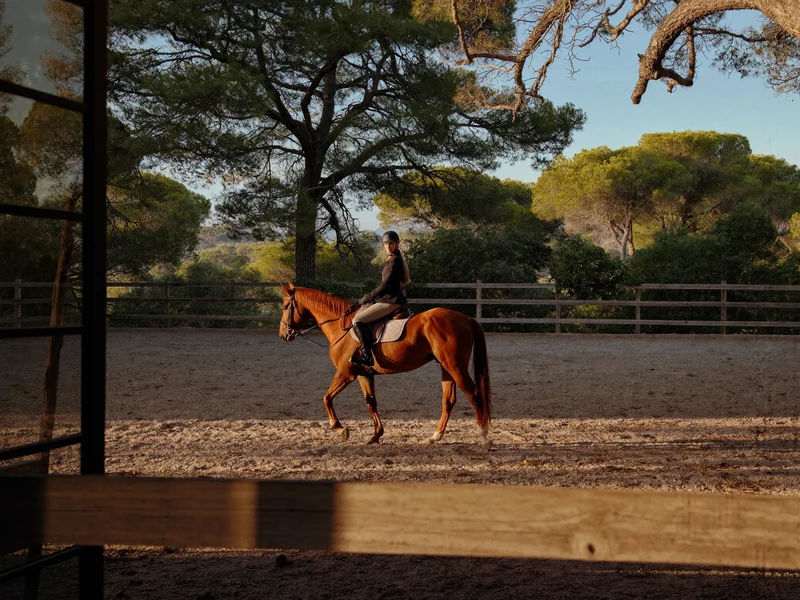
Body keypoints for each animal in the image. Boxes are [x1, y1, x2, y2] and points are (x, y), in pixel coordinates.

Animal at [278, 283, 493, 450]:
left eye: (286, 305)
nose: (283, 335)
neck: (342, 327)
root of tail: (465, 318)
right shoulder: (364, 374)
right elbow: (371, 402)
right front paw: (376, 435)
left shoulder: (346, 373)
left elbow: (326, 398)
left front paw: (341, 429)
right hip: (446, 367)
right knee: (448, 400)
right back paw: (435, 437)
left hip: (455, 366)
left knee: (474, 394)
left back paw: (484, 438)